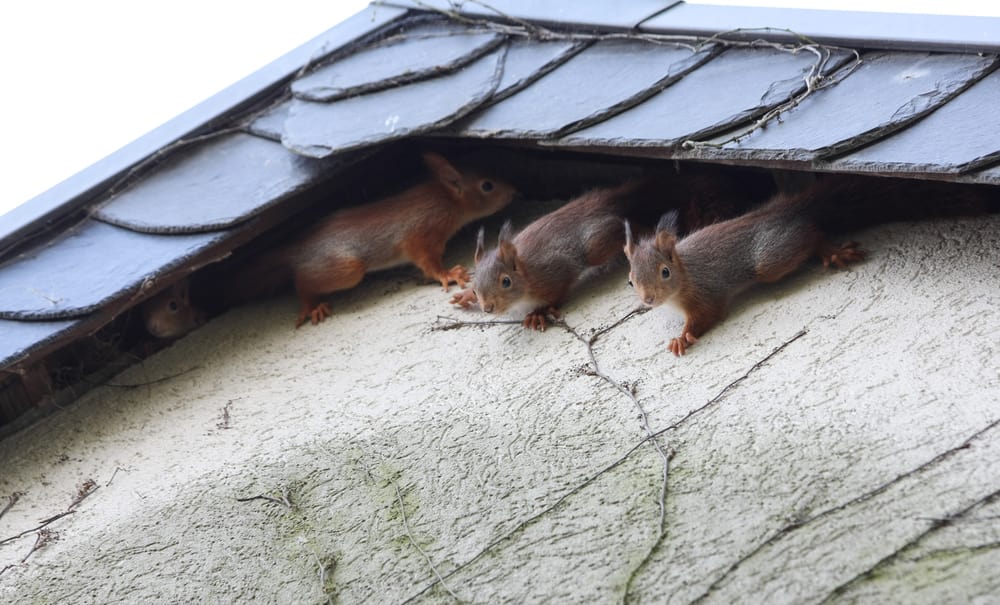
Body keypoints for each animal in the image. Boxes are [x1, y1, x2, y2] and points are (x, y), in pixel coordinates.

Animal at [200, 151, 520, 330]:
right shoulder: (421, 232)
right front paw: (450, 274)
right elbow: (427, 262)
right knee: (301, 282)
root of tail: (295, 249)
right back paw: (311, 305)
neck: (444, 200)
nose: (514, 191)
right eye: (487, 186)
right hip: (346, 269)